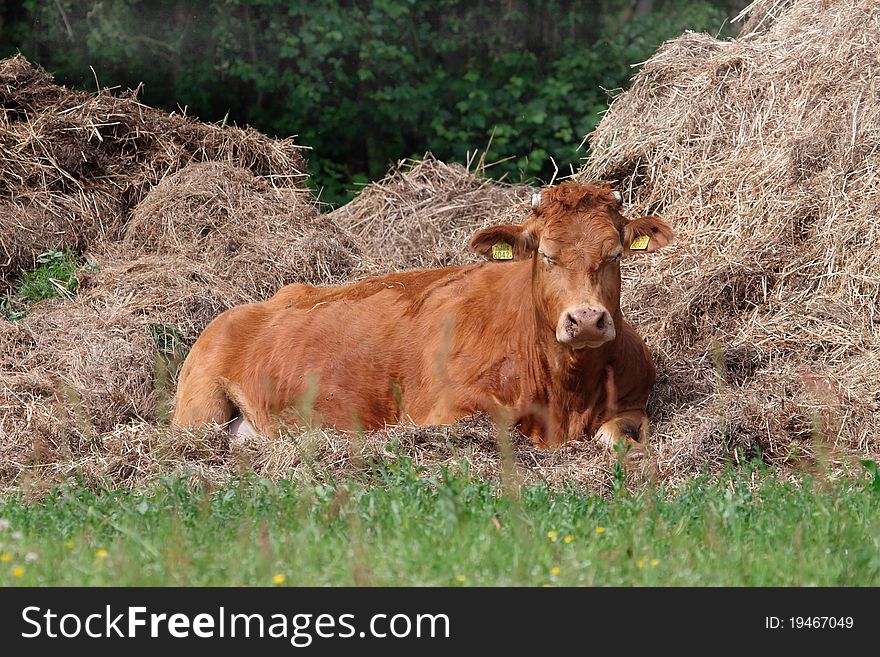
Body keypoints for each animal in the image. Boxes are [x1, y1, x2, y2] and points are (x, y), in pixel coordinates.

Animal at [172, 182, 672, 454]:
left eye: (614, 254)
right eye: (547, 256)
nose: (586, 319)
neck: (566, 392)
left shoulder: (633, 403)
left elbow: (616, 434)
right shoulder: (447, 410)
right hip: (198, 407)